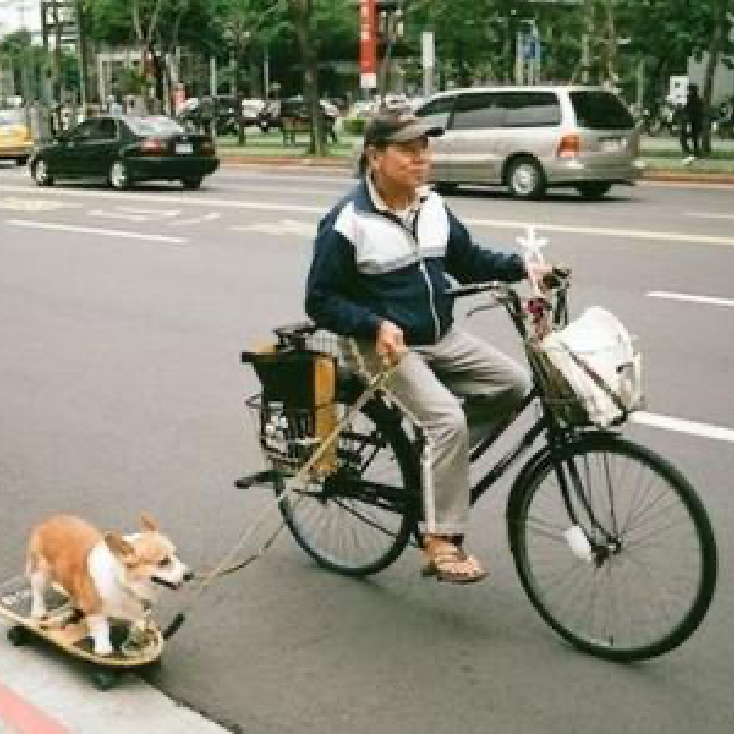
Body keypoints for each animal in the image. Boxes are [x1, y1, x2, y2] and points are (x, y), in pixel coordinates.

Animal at [27, 516, 191, 660]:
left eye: (176, 554)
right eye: (163, 562)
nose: (190, 574)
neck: (123, 583)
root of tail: (49, 521)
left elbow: (137, 623)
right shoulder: (95, 610)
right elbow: (101, 628)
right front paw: (103, 647)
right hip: (41, 572)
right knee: (38, 591)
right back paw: (38, 610)